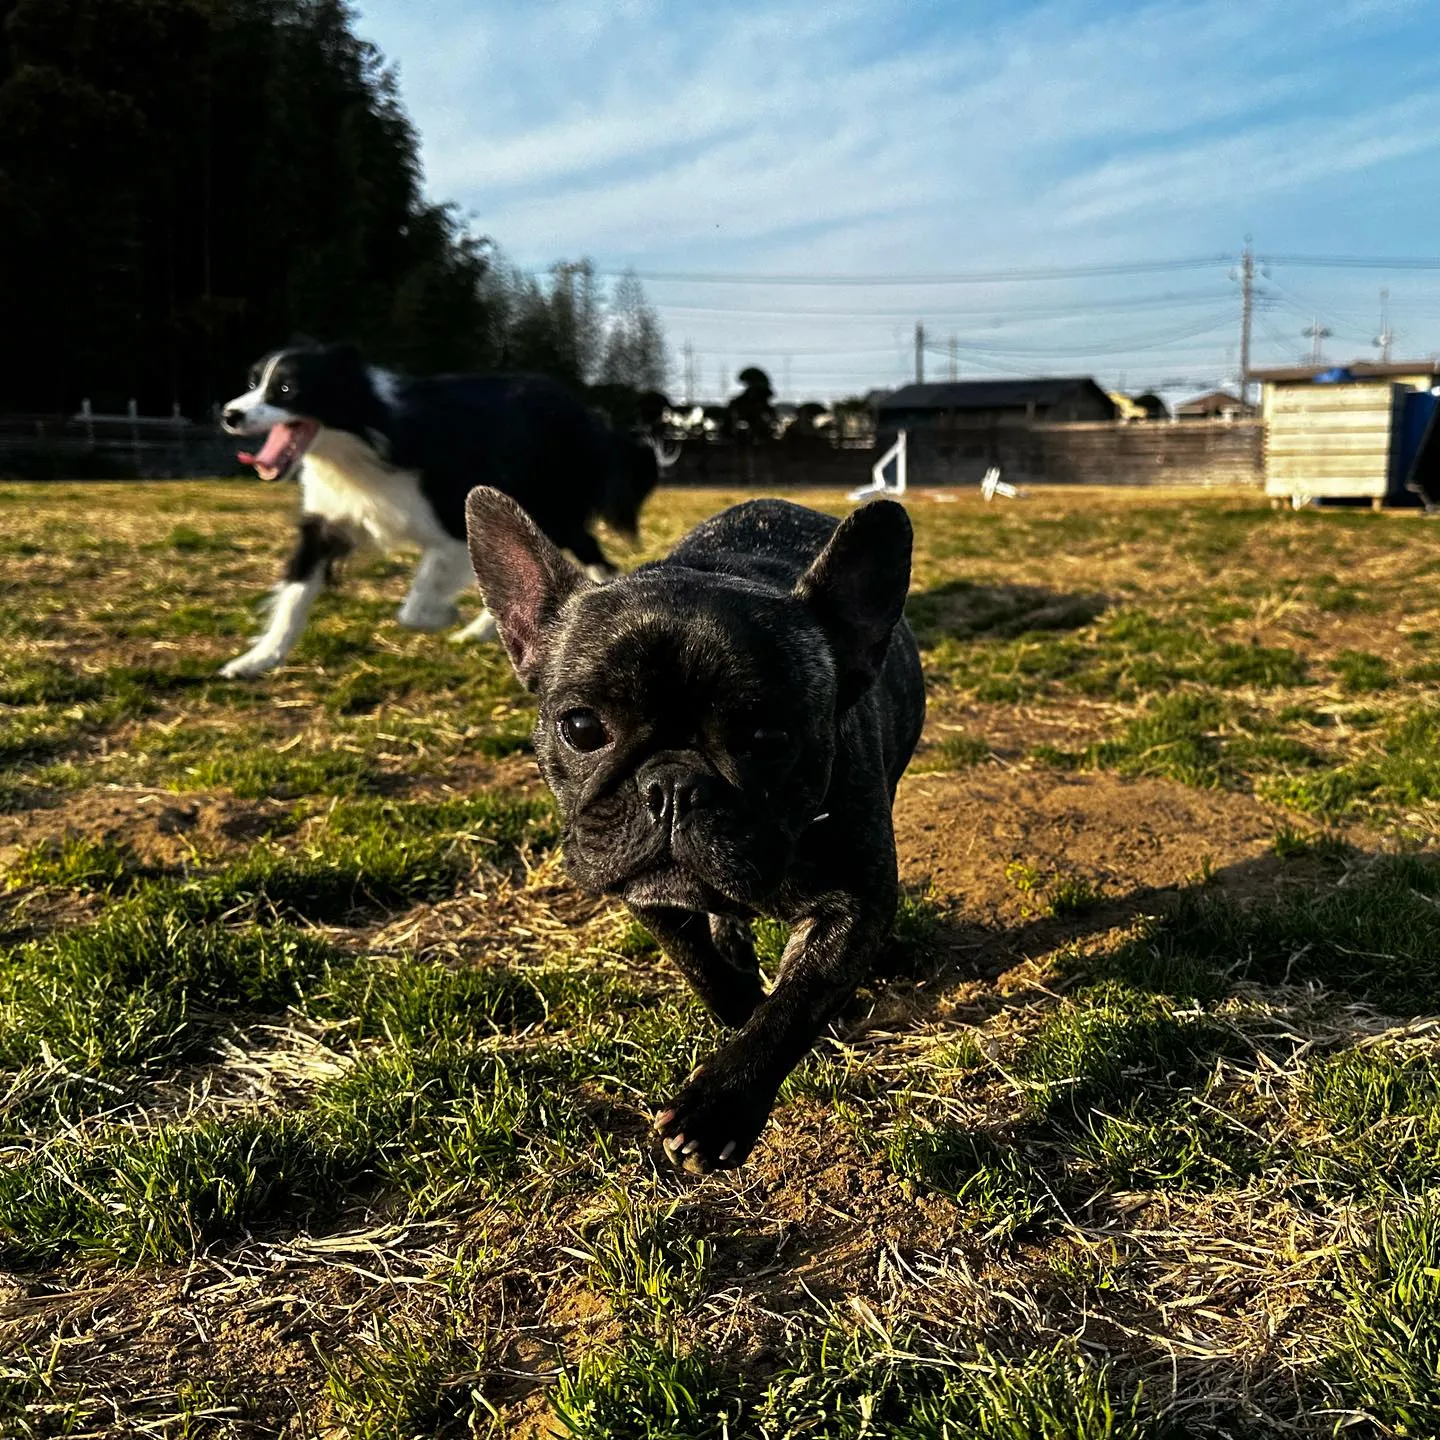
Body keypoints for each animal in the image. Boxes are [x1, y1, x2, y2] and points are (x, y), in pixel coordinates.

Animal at [216, 342, 665, 679]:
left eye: (286, 389)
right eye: (253, 383)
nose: (229, 415)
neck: (359, 441)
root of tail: (588, 413)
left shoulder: (452, 524)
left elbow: (415, 606)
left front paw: (445, 614)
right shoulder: (326, 524)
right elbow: (294, 597)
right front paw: (258, 659)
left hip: (554, 511)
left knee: (597, 562)